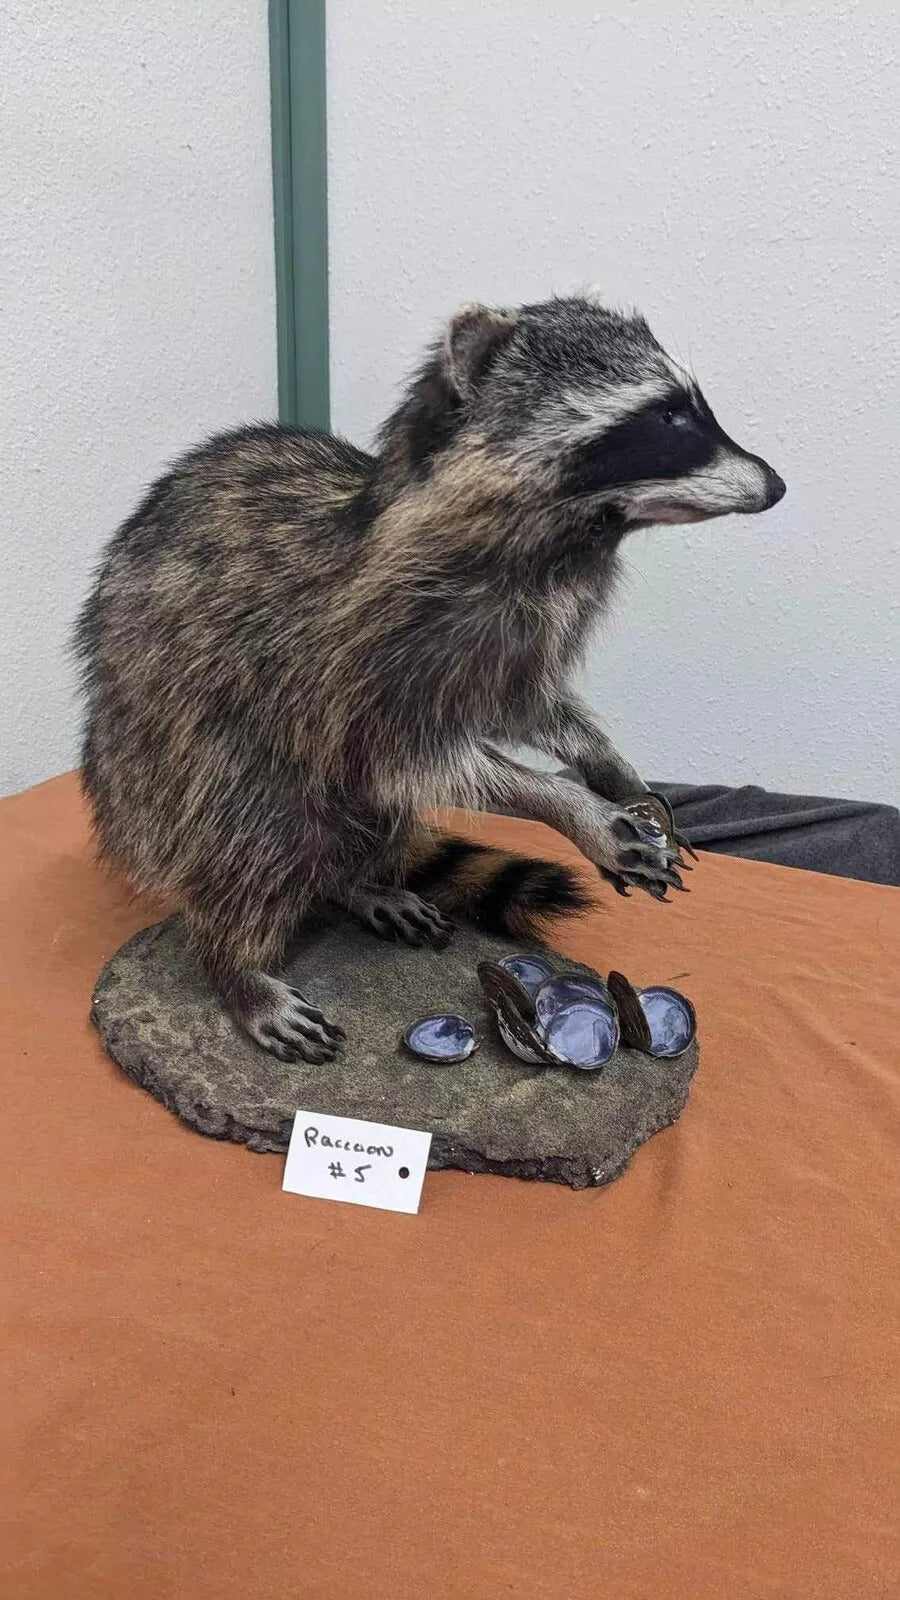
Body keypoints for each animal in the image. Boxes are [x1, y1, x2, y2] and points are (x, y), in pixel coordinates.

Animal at [74, 295, 784, 1064]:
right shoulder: (344, 655)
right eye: (667, 417)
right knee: (250, 825)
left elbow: (525, 705)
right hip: (171, 764)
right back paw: (237, 966)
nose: (776, 484)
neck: (574, 540)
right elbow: (405, 761)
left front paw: (607, 766)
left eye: (691, 408)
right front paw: (567, 805)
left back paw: (358, 881)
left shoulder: (512, 636)